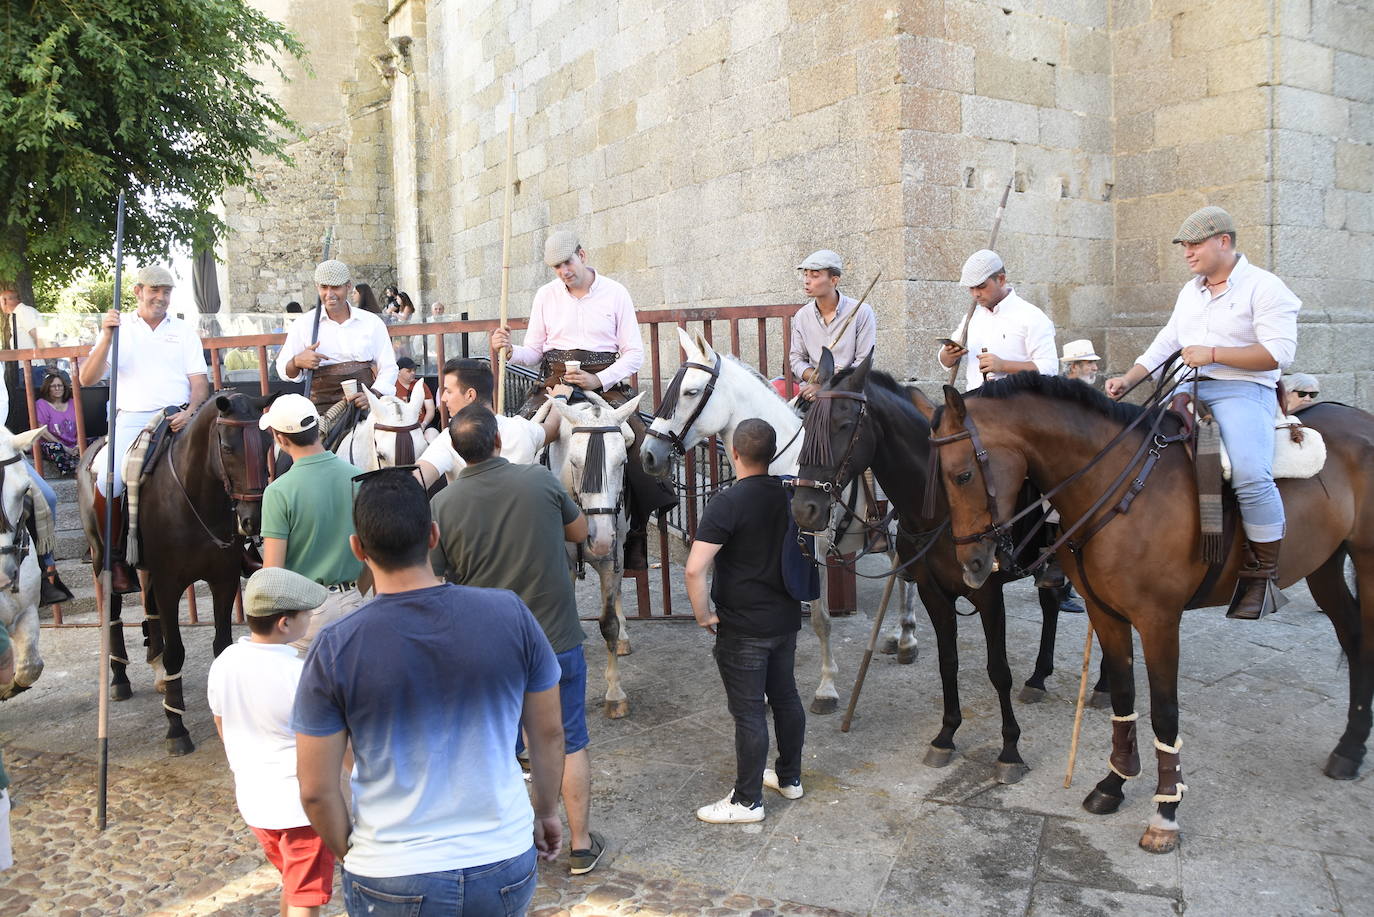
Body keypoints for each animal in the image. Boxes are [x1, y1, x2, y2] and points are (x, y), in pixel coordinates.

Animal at [80, 390, 276, 758]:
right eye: (227, 446)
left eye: (268, 442)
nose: (252, 519)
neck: (196, 497)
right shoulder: (171, 583)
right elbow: (176, 653)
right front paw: (176, 729)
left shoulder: (223, 581)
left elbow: (221, 644)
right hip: (101, 559)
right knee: (113, 614)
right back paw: (120, 679)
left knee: (150, 608)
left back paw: (155, 669)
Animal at [546, 390, 643, 720]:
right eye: (574, 462)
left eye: (622, 461)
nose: (598, 540)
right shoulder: (562, 562)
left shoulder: (611, 560)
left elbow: (608, 623)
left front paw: (615, 694)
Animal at [637, 329, 917, 714]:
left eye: (691, 391)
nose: (649, 455)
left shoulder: (813, 548)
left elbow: (820, 620)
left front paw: (826, 688)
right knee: (898, 570)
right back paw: (897, 635)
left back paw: (907, 639)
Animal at [923, 371, 1374, 852]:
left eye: (962, 474)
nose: (971, 565)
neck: (1117, 489)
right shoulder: (1106, 613)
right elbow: (1124, 695)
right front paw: (1113, 784)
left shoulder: (1159, 621)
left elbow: (1165, 711)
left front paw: (1166, 811)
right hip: (1324, 564)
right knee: (1354, 639)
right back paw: (1349, 749)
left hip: (1366, 562)